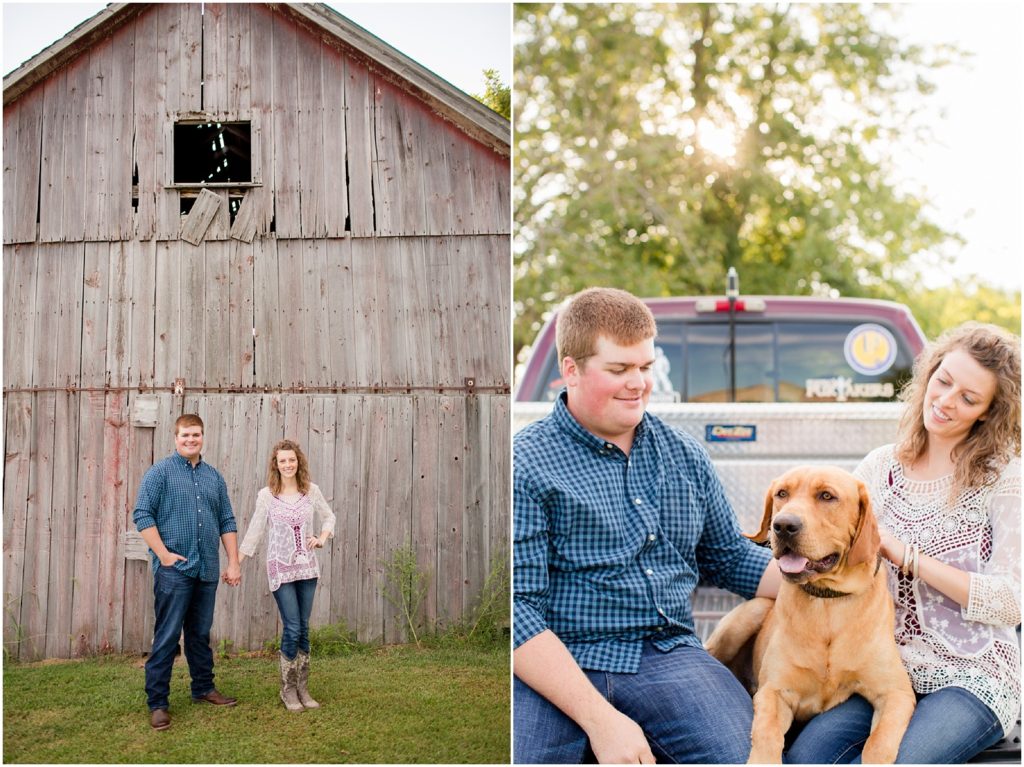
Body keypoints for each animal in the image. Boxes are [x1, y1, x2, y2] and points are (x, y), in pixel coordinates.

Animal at [708, 466, 917, 761]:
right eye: (782, 493)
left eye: (827, 496)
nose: (783, 526)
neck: (827, 601)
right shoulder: (774, 692)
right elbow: (767, 737)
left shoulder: (896, 693)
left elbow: (878, 745)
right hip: (746, 617)